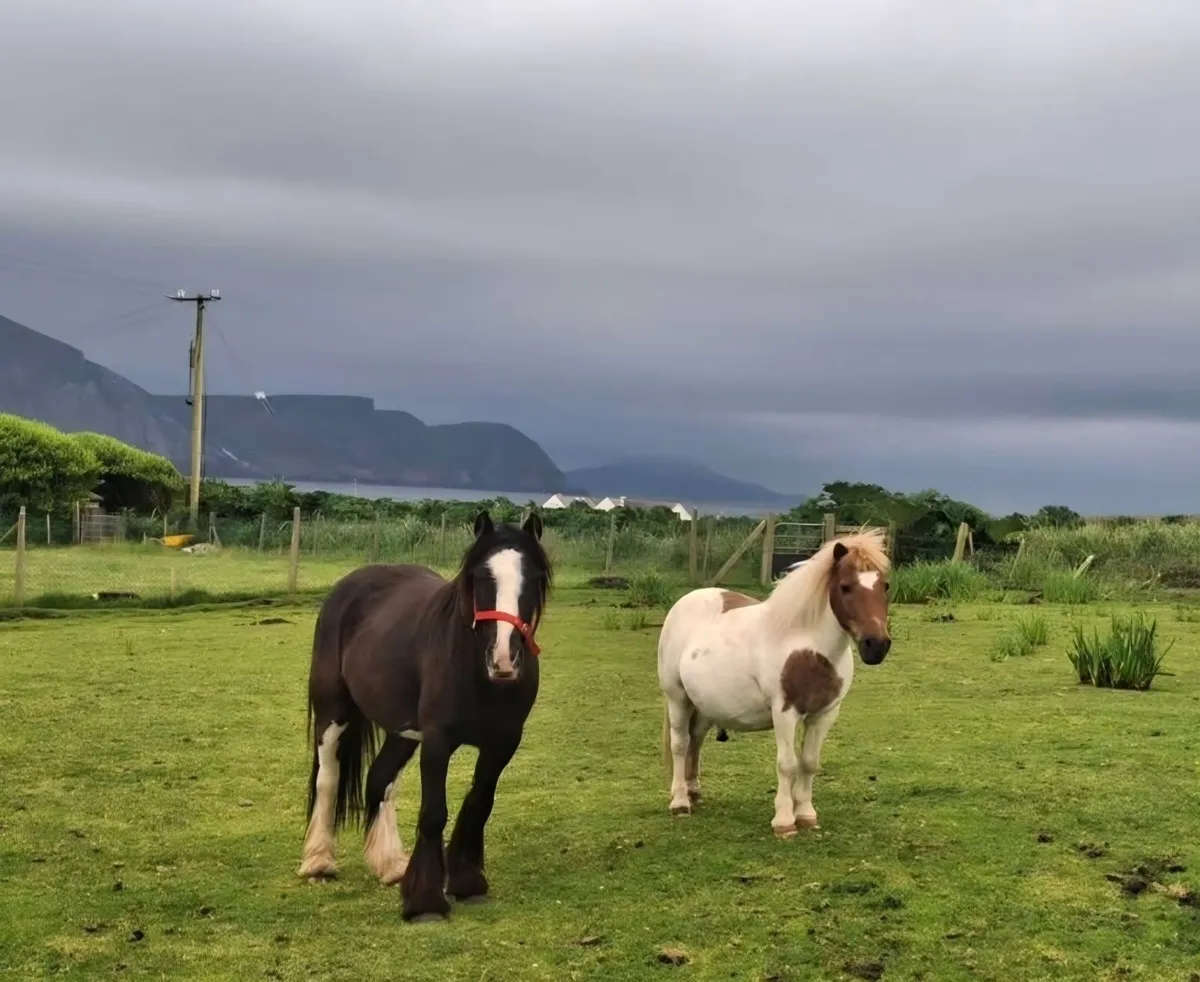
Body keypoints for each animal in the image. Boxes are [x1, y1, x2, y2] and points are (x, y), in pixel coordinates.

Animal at [297, 509, 552, 923]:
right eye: (480, 577)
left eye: (535, 579)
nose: (503, 659)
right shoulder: (437, 741)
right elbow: (434, 812)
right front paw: (425, 902)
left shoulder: (503, 743)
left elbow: (479, 803)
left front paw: (466, 883)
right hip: (333, 714)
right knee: (328, 780)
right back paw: (319, 862)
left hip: (402, 730)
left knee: (379, 778)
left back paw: (390, 865)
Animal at [656, 528, 891, 837]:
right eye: (845, 587)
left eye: (885, 586)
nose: (876, 646)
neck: (806, 645)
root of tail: (688, 600)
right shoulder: (784, 712)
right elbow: (787, 764)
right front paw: (784, 821)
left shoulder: (825, 714)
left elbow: (809, 762)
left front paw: (806, 814)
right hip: (678, 698)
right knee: (680, 744)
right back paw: (680, 802)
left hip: (704, 705)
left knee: (695, 739)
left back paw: (694, 791)